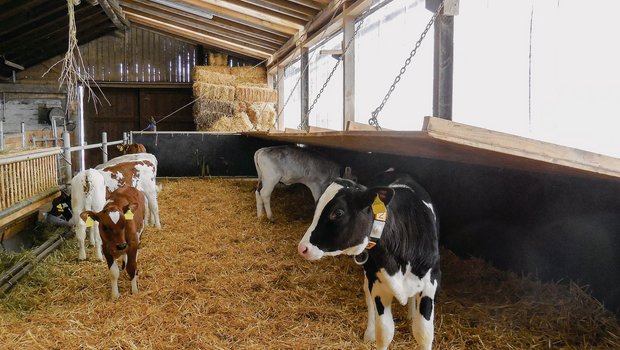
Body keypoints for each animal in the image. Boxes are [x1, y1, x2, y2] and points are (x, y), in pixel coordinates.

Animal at [296, 173, 438, 350]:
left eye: (338, 212)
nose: (303, 248)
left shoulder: (430, 284)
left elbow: (423, 334)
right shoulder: (378, 284)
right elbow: (384, 332)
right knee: (368, 297)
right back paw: (370, 331)